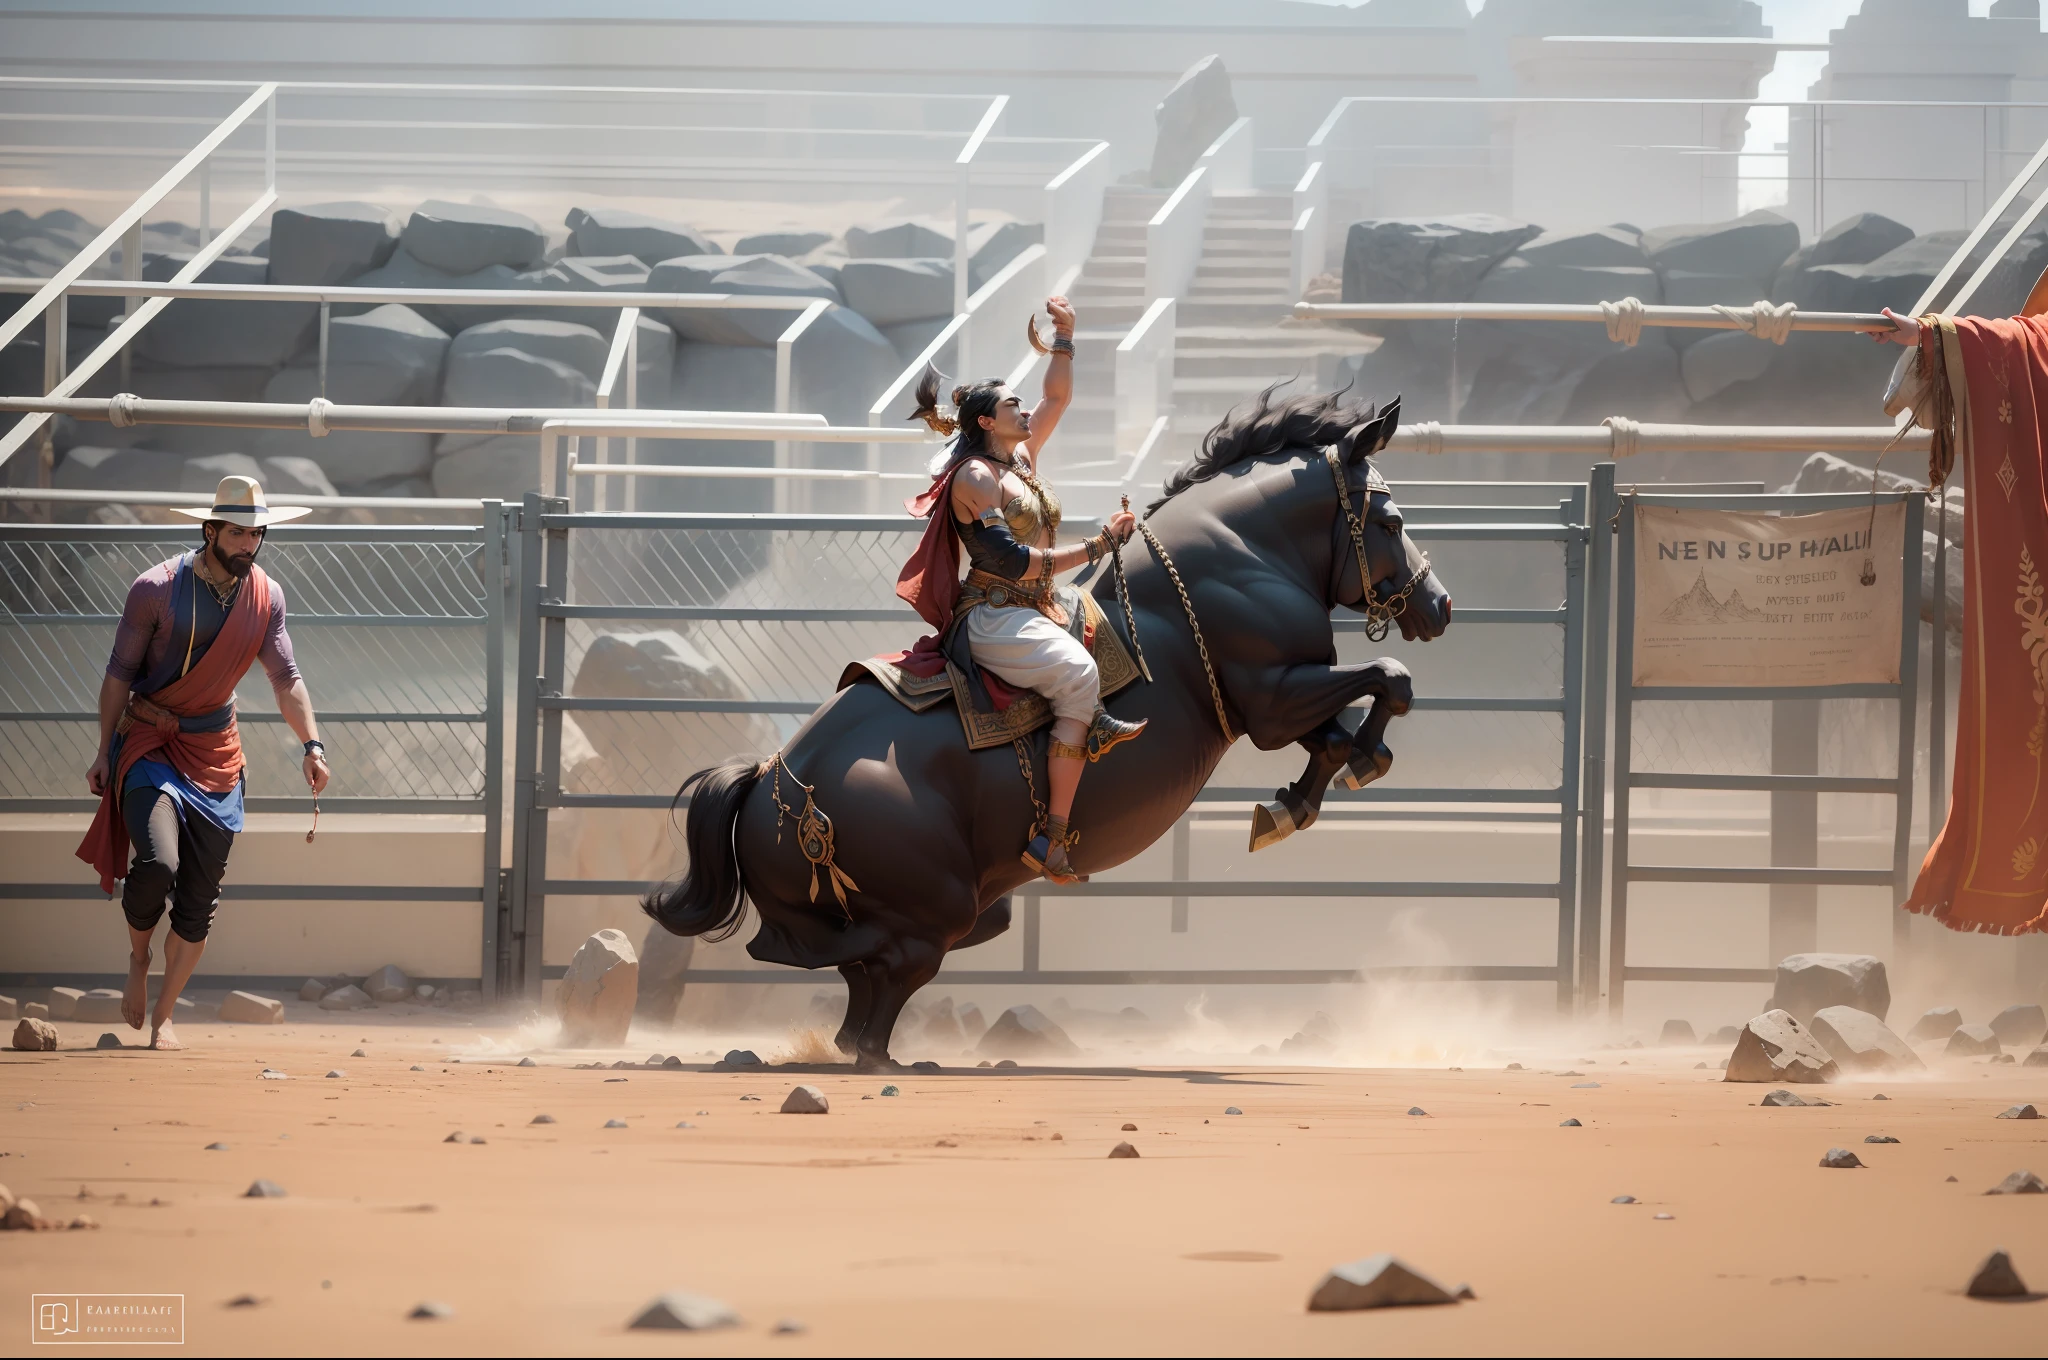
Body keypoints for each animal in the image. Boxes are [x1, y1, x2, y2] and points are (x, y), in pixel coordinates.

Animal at [647, 387, 1449, 1065]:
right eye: (1392, 520)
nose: (1438, 605)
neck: (1228, 561)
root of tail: (769, 784)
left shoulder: (1280, 702)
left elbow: (1341, 734)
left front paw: (1294, 802)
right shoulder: (1274, 696)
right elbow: (1391, 682)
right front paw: (1341, 776)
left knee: (857, 982)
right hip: (938, 908)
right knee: (877, 983)